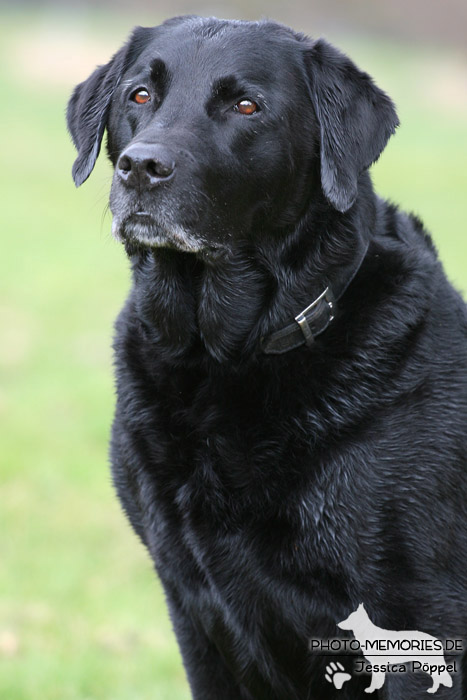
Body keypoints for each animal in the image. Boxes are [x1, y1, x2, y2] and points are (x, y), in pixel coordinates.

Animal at [66, 13, 467, 696]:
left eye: (246, 106)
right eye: (139, 95)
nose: (140, 167)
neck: (223, 356)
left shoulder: (419, 613)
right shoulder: (192, 607)